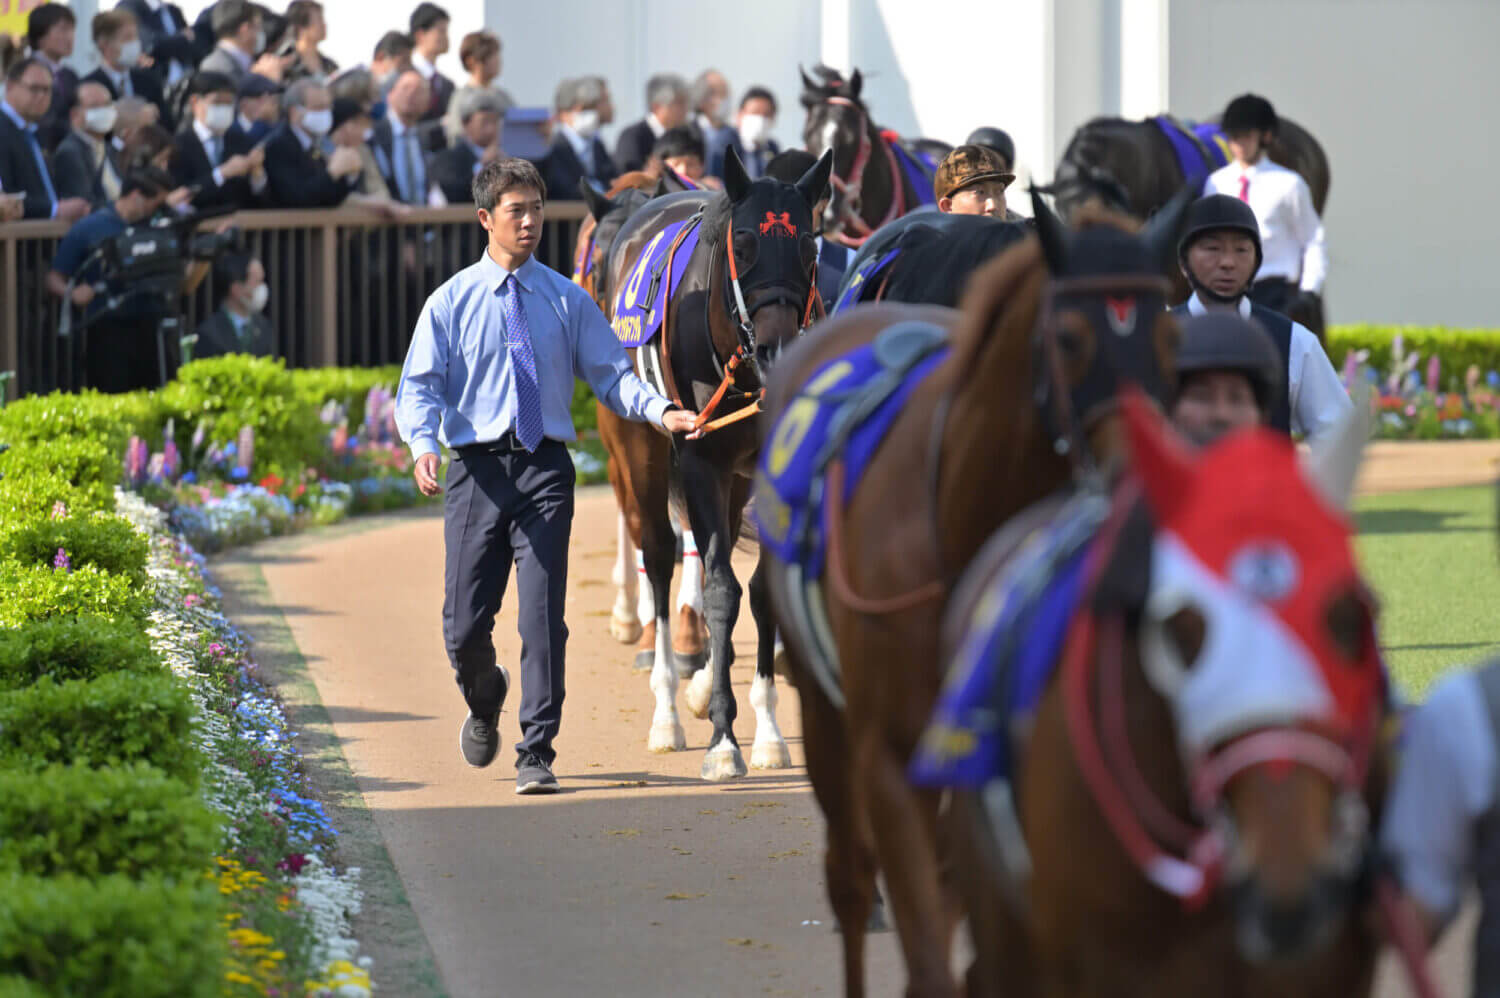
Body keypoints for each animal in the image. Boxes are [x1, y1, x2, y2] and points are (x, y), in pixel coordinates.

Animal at [597, 146, 840, 780]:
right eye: (748, 243)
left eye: (808, 248)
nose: (779, 350)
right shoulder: (700, 459)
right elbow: (719, 589)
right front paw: (725, 741)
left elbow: (754, 585)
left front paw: (768, 731)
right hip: (638, 443)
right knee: (660, 554)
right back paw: (667, 712)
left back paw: (705, 682)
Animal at [762, 189, 1194, 996]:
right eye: (1070, 337)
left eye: (1170, 339)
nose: (1144, 484)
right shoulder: (891, 757)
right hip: (826, 717)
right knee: (850, 878)